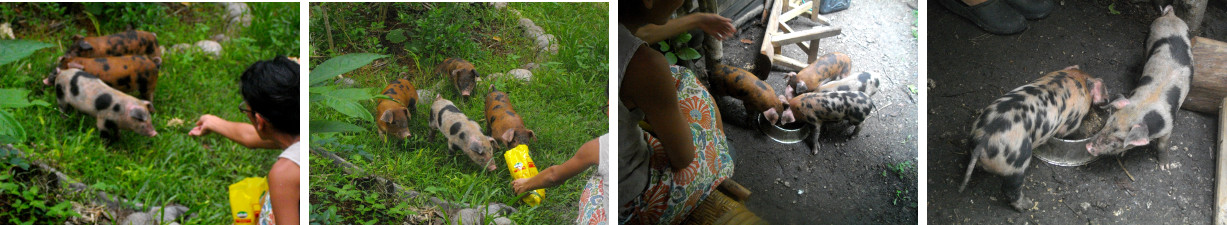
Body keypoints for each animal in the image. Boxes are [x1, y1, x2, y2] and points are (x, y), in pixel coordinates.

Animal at [957, 65, 1114, 211]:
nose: (1107, 100)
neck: (1077, 77)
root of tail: (983, 142)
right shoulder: (1073, 119)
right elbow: (1066, 131)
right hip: (1018, 163)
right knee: (1011, 188)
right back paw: (1026, 206)